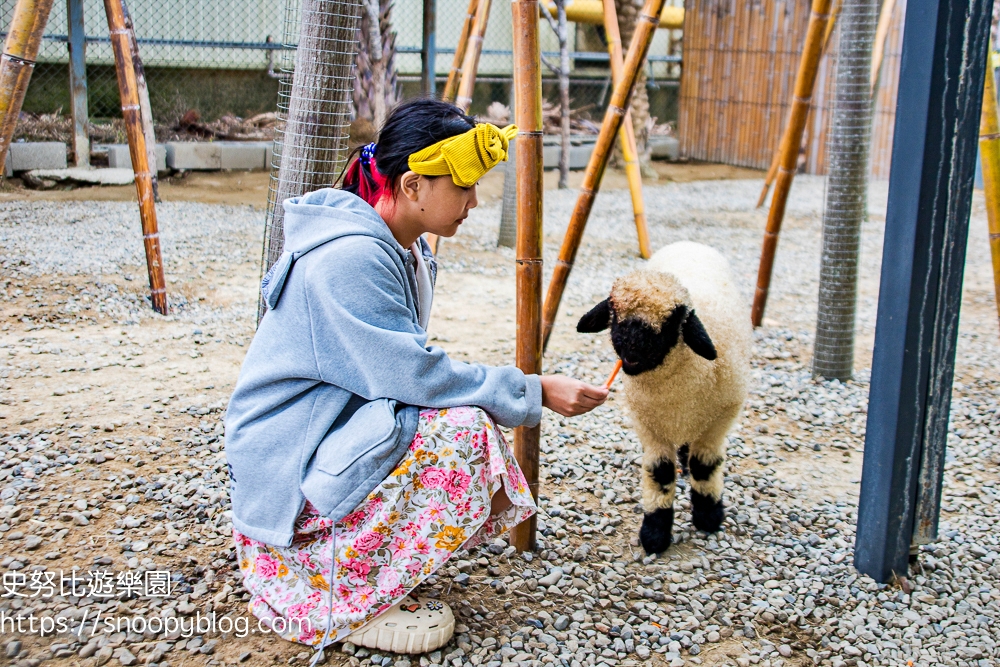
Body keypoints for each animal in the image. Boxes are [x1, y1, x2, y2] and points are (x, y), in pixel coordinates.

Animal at [576, 240, 748, 552]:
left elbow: (704, 467)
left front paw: (708, 516)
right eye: (615, 314)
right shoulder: (649, 427)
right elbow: (660, 474)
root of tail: (689, 242)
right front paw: (655, 533)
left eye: (670, 323)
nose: (630, 346)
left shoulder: (719, 422)